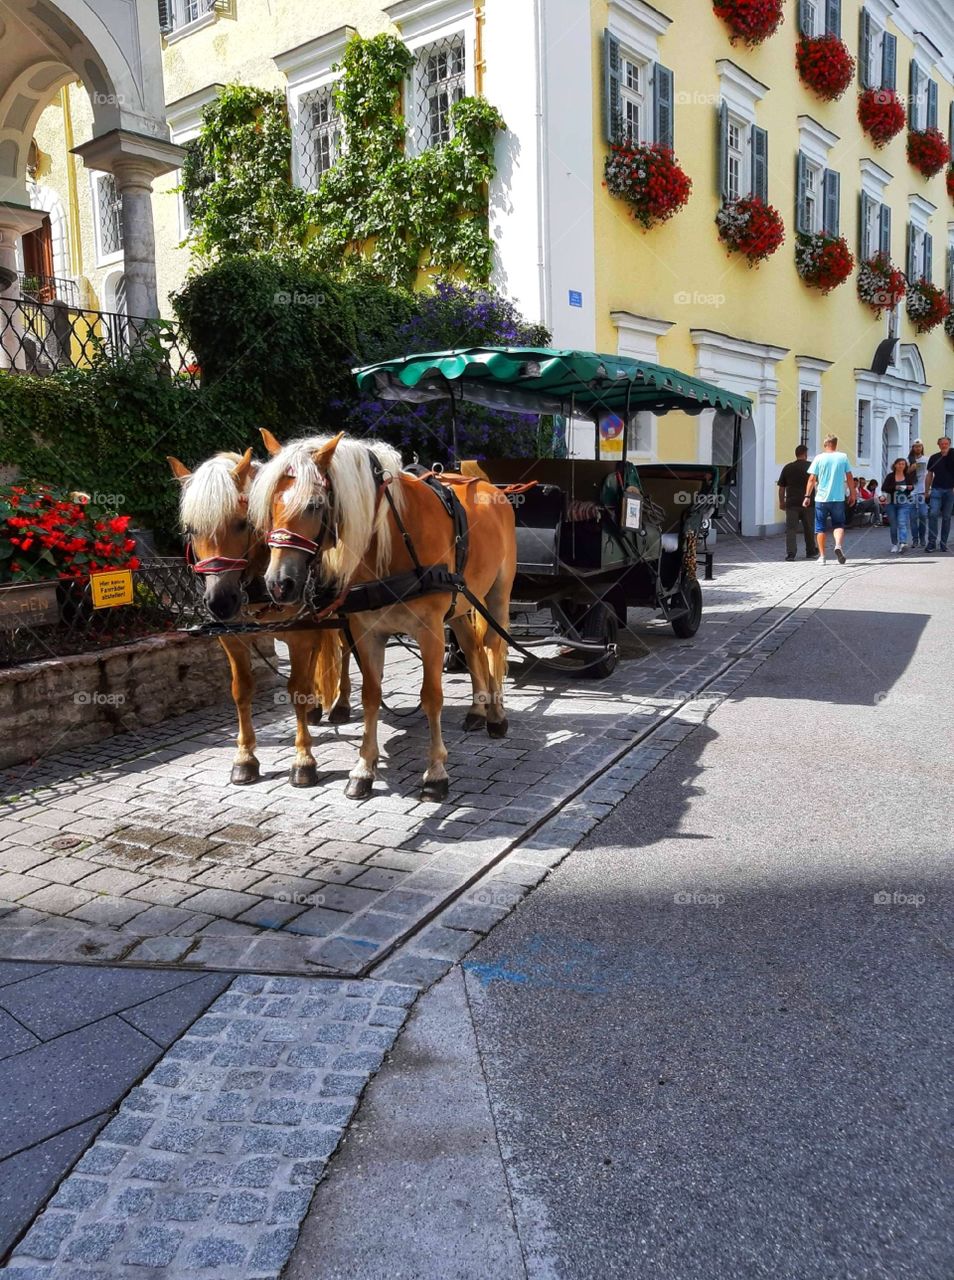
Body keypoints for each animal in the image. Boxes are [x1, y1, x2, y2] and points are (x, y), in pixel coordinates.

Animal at [245, 435, 514, 793]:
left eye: (314, 505)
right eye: (269, 507)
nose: (279, 584)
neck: (394, 540)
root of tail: (487, 485)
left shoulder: (429, 631)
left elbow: (432, 696)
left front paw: (436, 772)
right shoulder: (367, 632)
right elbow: (371, 695)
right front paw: (363, 768)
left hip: (497, 594)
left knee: (493, 646)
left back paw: (496, 716)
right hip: (460, 603)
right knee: (472, 649)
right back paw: (477, 710)